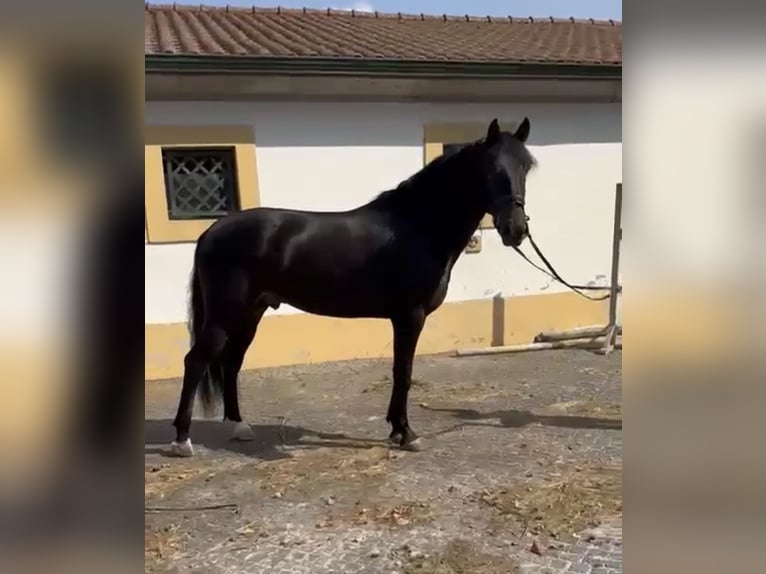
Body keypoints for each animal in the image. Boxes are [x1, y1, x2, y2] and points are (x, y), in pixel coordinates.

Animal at [169, 117, 537, 457]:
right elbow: (403, 373)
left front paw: (396, 430)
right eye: (491, 169)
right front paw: (407, 434)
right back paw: (182, 440)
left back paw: (239, 426)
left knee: (231, 362)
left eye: (526, 167)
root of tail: (211, 231)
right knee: (196, 362)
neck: (418, 226)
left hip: (250, 314)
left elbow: (400, 372)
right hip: (225, 315)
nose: (516, 229)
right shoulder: (410, 316)